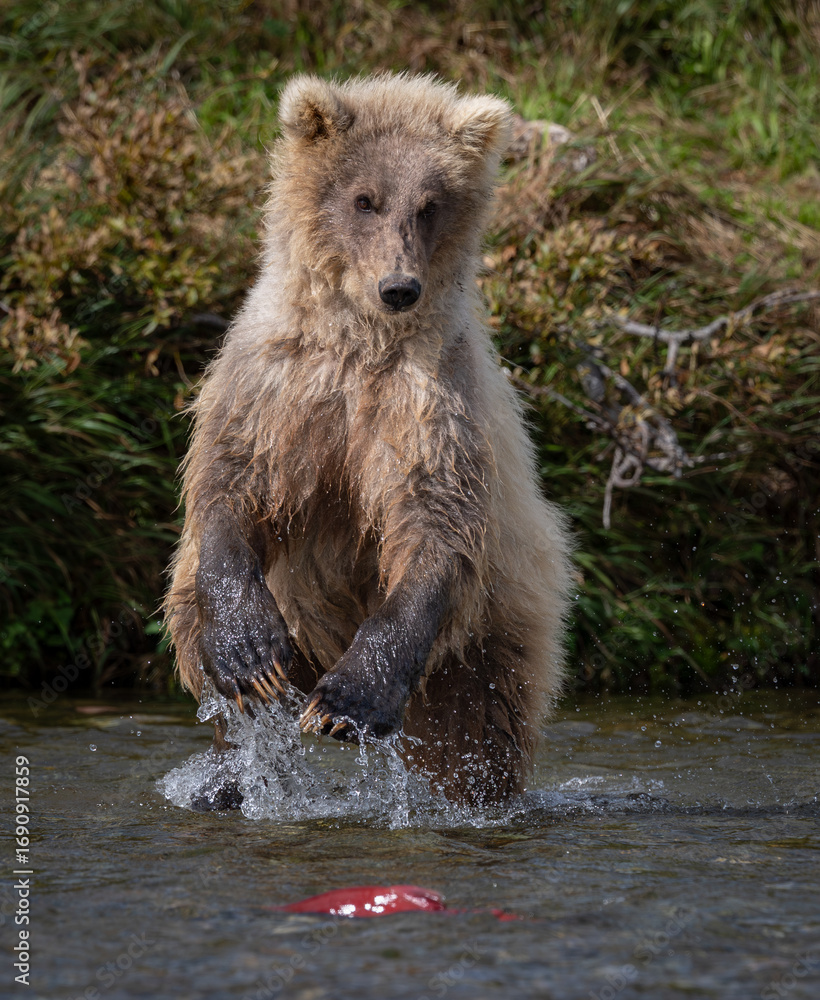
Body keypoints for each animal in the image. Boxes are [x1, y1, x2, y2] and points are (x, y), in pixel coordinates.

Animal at [163, 73, 573, 807]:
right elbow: (232, 483)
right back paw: (230, 766)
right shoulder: (278, 386)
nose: (399, 287)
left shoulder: (428, 405)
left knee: (483, 723)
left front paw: (349, 701)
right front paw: (248, 652)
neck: (360, 338)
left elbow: (434, 520)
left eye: (430, 205)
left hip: (495, 625)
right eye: (364, 198)